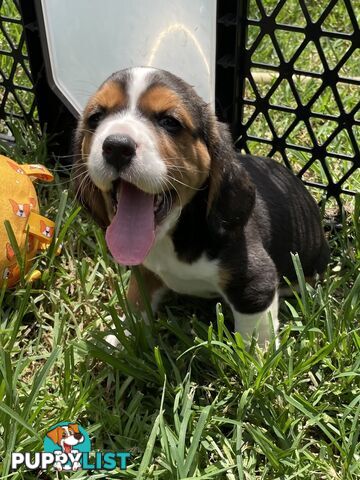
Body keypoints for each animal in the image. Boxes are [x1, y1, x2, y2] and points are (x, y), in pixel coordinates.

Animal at [73, 67, 330, 344]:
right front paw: (120, 339)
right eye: (95, 118)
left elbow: (254, 337)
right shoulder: (144, 272)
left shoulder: (255, 283)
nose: (117, 146)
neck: (173, 231)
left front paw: (254, 355)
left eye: (170, 122)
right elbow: (136, 303)